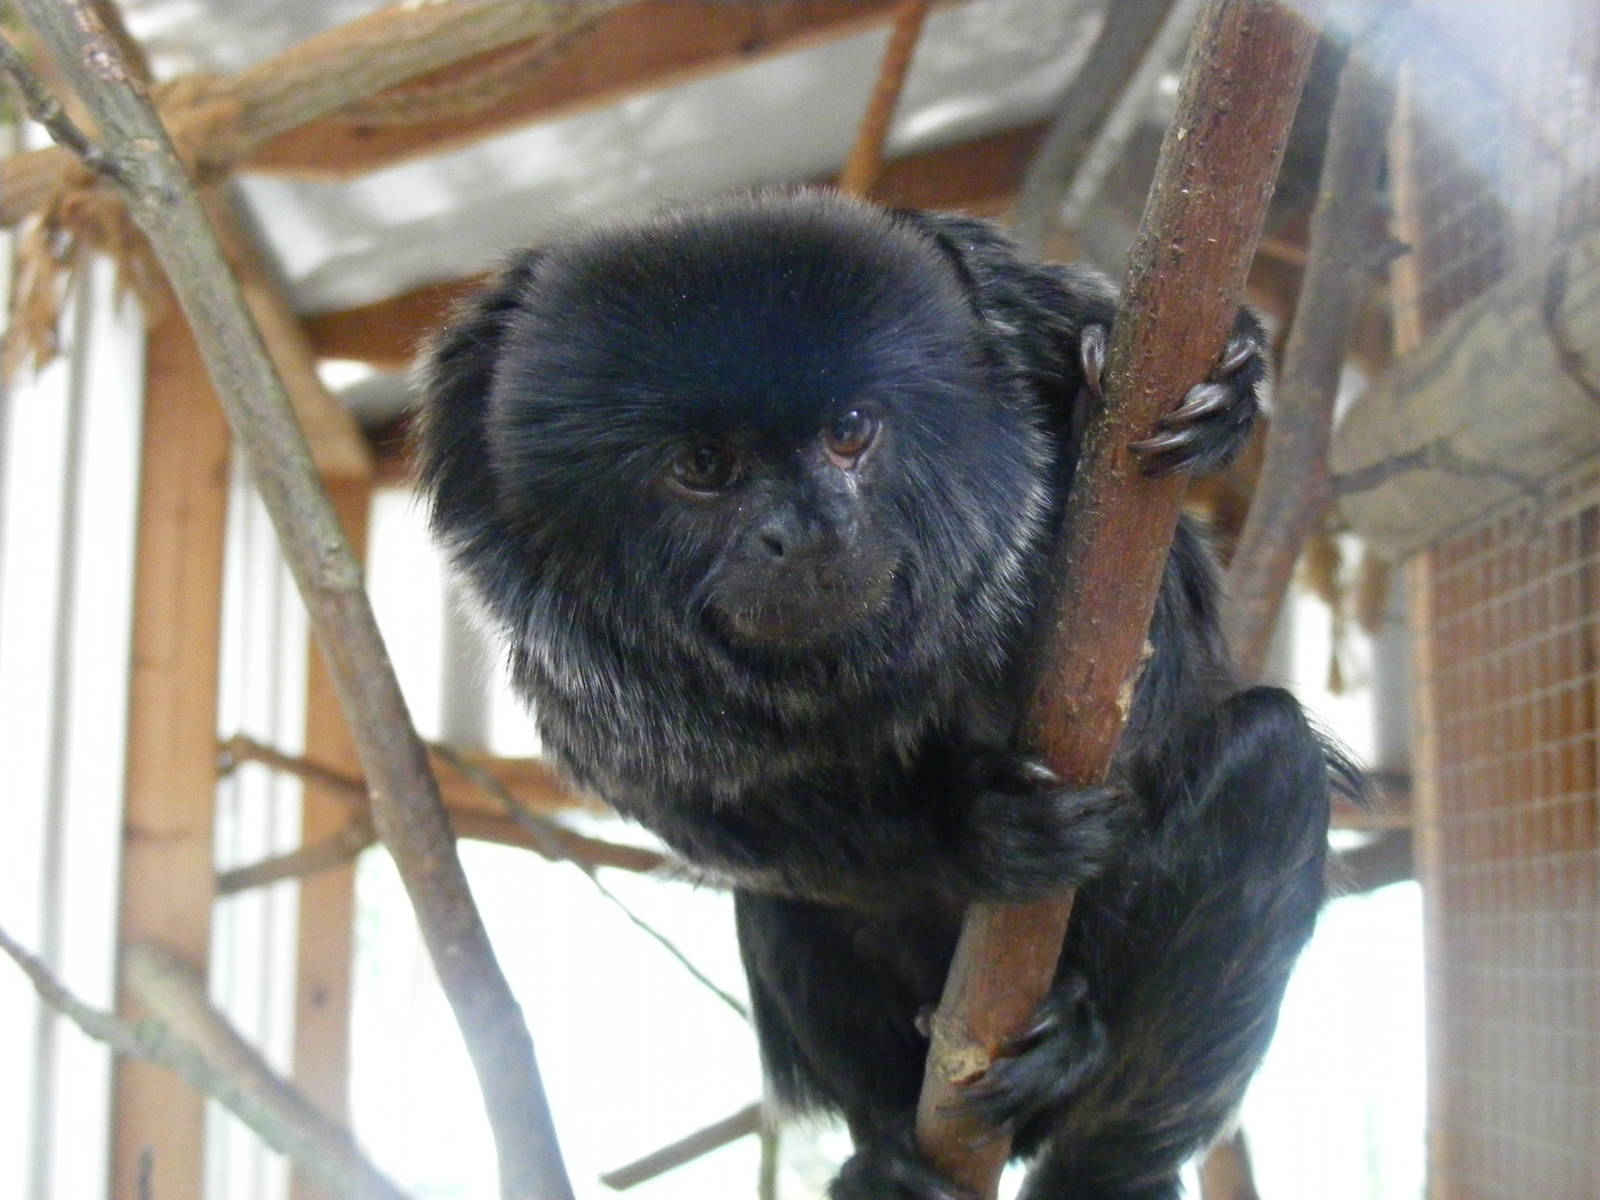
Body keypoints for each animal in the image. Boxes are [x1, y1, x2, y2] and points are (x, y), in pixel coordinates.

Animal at [414, 189, 1352, 1200]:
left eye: (850, 432)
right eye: (703, 466)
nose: (811, 529)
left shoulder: (1034, 324)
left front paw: (1224, 393)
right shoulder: (586, 694)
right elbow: (705, 820)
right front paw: (976, 830)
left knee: (1272, 764)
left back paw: (1088, 1106)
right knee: (784, 905)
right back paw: (891, 1155)